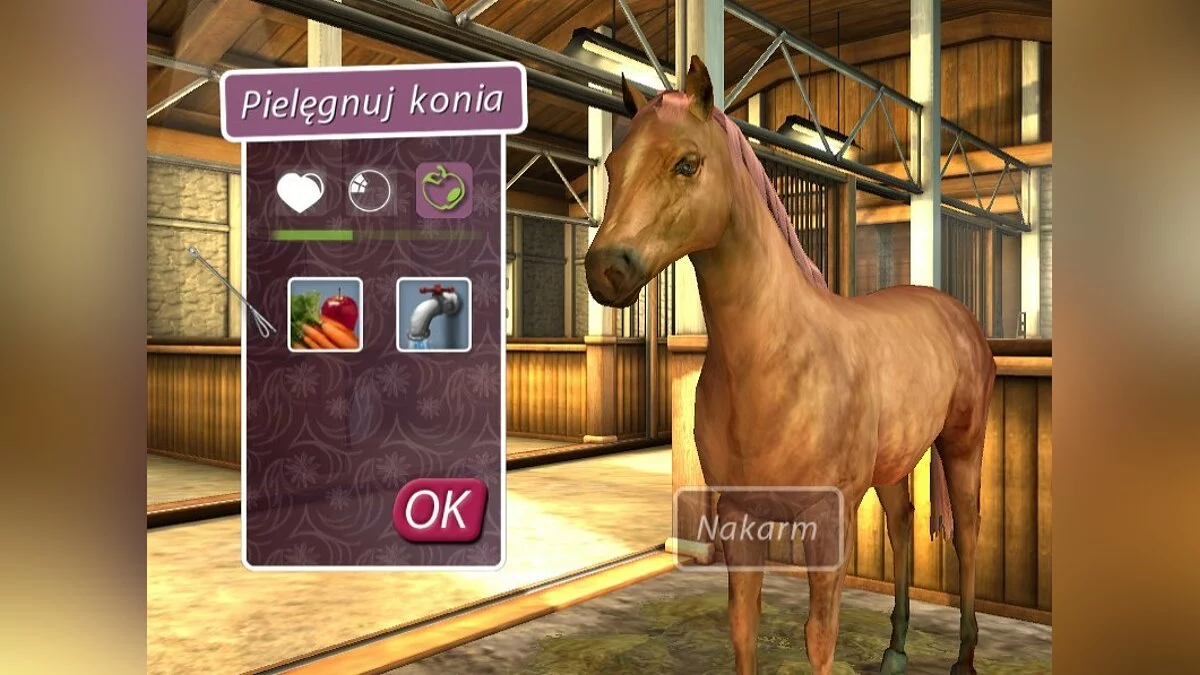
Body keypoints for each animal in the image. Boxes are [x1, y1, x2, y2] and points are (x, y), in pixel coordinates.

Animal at [584, 56, 996, 675]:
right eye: (612, 165)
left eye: (687, 163)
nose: (605, 269)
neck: (774, 363)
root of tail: (953, 310)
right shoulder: (740, 518)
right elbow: (743, 626)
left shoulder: (826, 522)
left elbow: (819, 635)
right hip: (894, 464)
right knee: (901, 528)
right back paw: (895, 650)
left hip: (962, 444)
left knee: (967, 534)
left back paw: (964, 659)